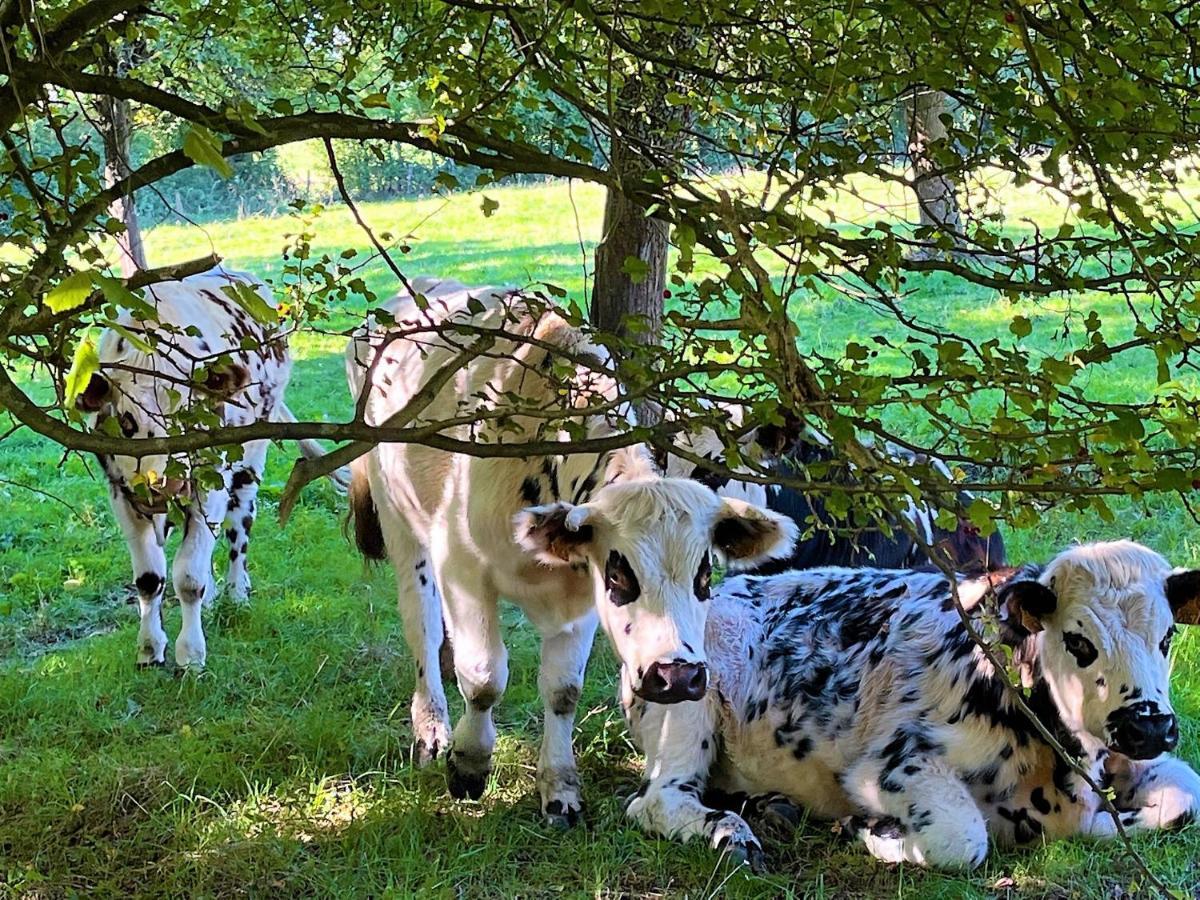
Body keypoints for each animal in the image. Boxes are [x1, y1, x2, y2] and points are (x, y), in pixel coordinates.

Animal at [76, 266, 343, 672]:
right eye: (126, 420)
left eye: (192, 414)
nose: (165, 486)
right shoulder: (122, 493)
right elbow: (149, 578)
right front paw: (149, 648)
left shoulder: (209, 487)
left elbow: (188, 576)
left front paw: (190, 655)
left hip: (250, 461)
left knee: (238, 529)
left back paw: (236, 591)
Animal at [345, 282, 796, 825]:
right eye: (621, 576)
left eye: (704, 577)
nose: (679, 676)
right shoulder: (462, 567)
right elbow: (484, 677)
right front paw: (469, 763)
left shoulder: (579, 599)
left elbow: (562, 691)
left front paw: (559, 787)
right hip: (400, 520)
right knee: (423, 628)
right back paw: (431, 729)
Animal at [619, 540, 1200, 868]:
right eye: (1079, 641)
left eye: (1168, 635)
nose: (1149, 727)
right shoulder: (892, 764)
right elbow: (961, 839)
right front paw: (871, 830)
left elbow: (1185, 795)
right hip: (684, 693)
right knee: (655, 801)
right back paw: (731, 835)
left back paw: (773, 807)